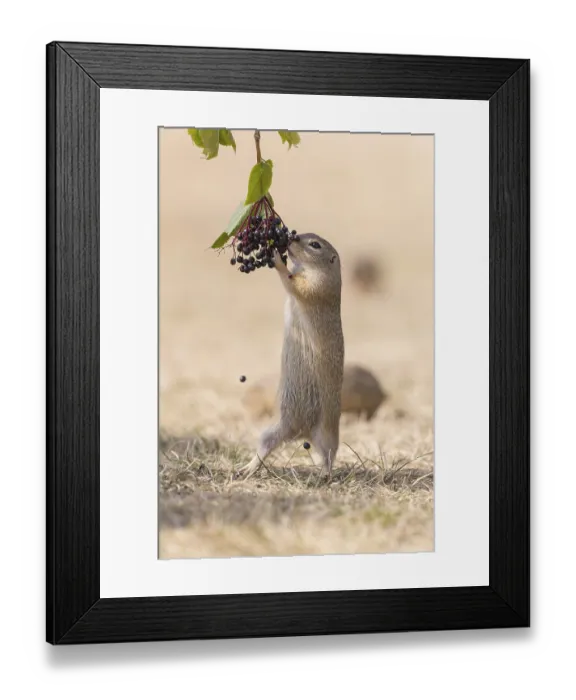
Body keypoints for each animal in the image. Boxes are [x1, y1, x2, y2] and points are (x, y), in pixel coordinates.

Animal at [237, 233, 344, 479]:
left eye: (315, 245)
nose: (291, 237)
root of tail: (302, 432)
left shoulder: (317, 287)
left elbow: (293, 283)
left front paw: (277, 257)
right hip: (275, 428)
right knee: (266, 448)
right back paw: (247, 468)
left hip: (328, 432)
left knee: (329, 456)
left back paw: (325, 474)